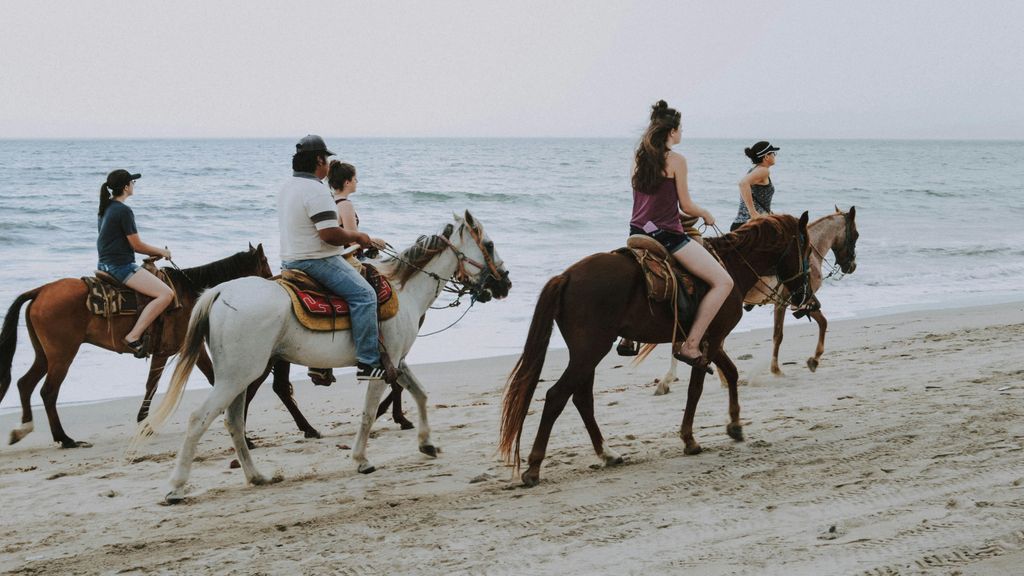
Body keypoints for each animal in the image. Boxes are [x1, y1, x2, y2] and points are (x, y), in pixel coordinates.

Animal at [0, 243, 323, 446]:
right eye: (265, 265)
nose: (277, 285)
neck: (192, 292)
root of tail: (41, 290)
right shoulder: (184, 349)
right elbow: (201, 380)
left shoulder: (170, 352)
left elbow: (153, 385)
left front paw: (145, 423)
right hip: (62, 354)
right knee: (47, 391)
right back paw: (64, 438)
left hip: (46, 354)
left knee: (26, 384)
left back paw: (24, 429)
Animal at [132, 211, 507, 502]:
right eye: (488, 245)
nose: (505, 283)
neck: (403, 290)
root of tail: (221, 291)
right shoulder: (380, 367)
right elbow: (368, 414)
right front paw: (360, 459)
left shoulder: (396, 361)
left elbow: (420, 393)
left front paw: (427, 444)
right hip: (239, 375)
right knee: (200, 418)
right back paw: (176, 487)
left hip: (238, 376)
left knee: (234, 421)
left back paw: (256, 476)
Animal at [499, 213, 811, 481]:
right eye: (806, 250)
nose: (803, 295)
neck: (731, 267)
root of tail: (566, 276)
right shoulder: (710, 340)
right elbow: (696, 388)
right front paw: (689, 439)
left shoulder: (709, 338)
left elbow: (731, 373)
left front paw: (734, 424)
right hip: (590, 351)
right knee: (557, 396)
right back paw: (535, 467)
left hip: (587, 353)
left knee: (581, 399)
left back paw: (607, 453)